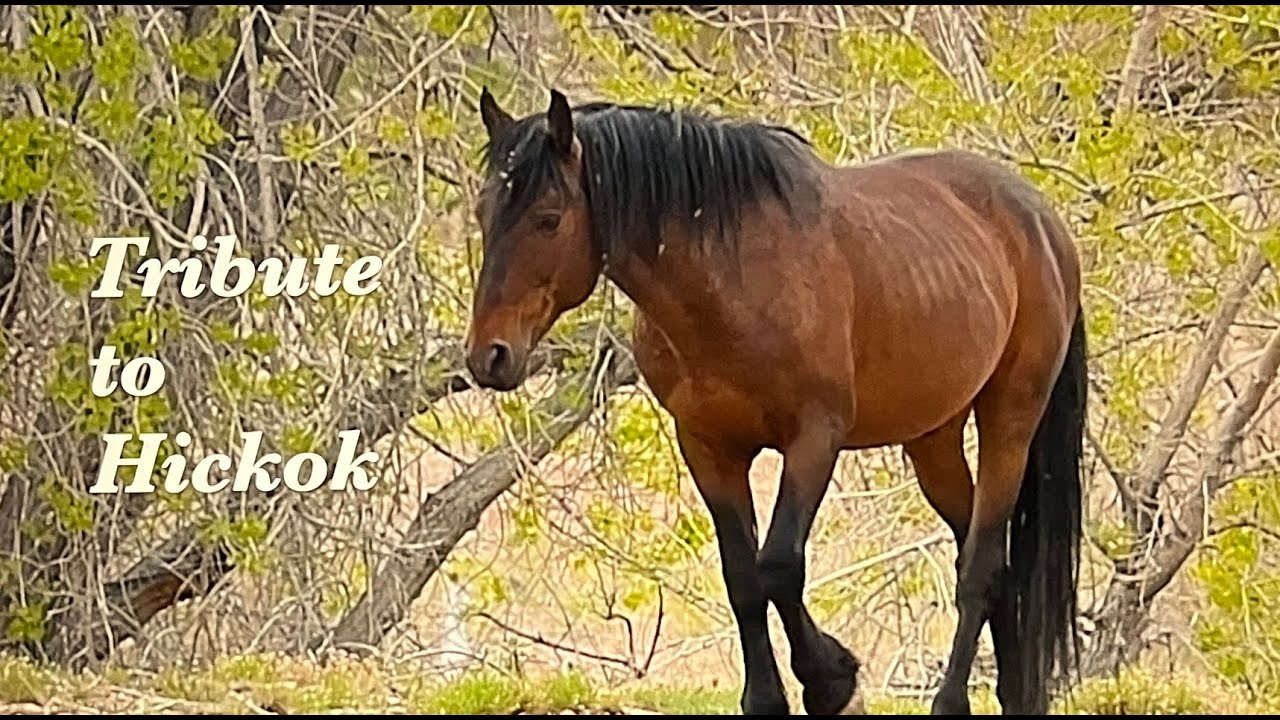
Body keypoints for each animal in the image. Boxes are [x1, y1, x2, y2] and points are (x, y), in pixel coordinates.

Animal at [462, 87, 1086, 716]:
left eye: (548, 220)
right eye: (483, 214)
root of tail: (1041, 221)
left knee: (981, 567)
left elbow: (780, 566)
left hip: (1010, 421)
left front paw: (830, 680)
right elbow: (742, 577)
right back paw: (1015, 694)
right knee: (987, 558)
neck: (729, 278)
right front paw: (769, 697)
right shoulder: (709, 447)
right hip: (932, 440)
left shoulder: (813, 439)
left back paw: (951, 701)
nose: (489, 356)